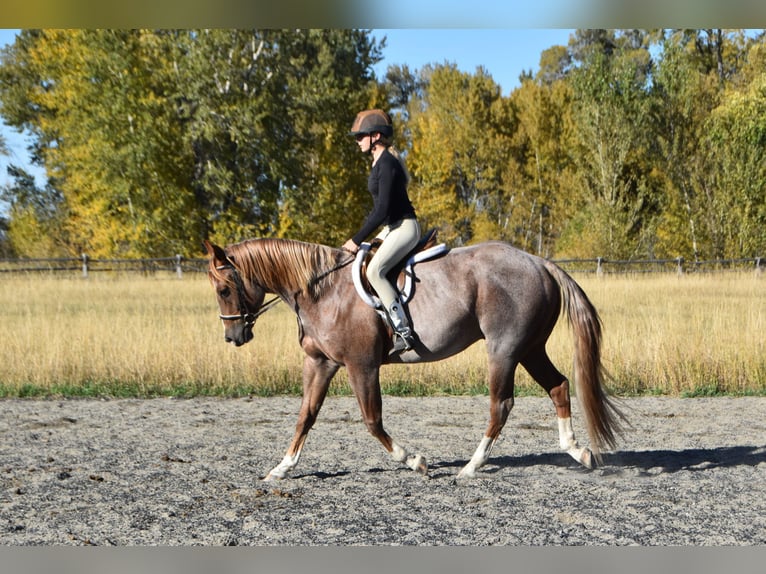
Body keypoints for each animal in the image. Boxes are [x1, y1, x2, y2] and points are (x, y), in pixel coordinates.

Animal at [204, 237, 625, 480]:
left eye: (224, 289)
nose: (232, 337)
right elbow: (305, 416)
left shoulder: (361, 365)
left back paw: (471, 468)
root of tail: (539, 262)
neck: (322, 290)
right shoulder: (320, 363)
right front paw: (282, 468)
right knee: (559, 386)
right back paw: (578, 452)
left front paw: (414, 460)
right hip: (530, 349)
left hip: (504, 350)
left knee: (501, 404)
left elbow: (372, 421)